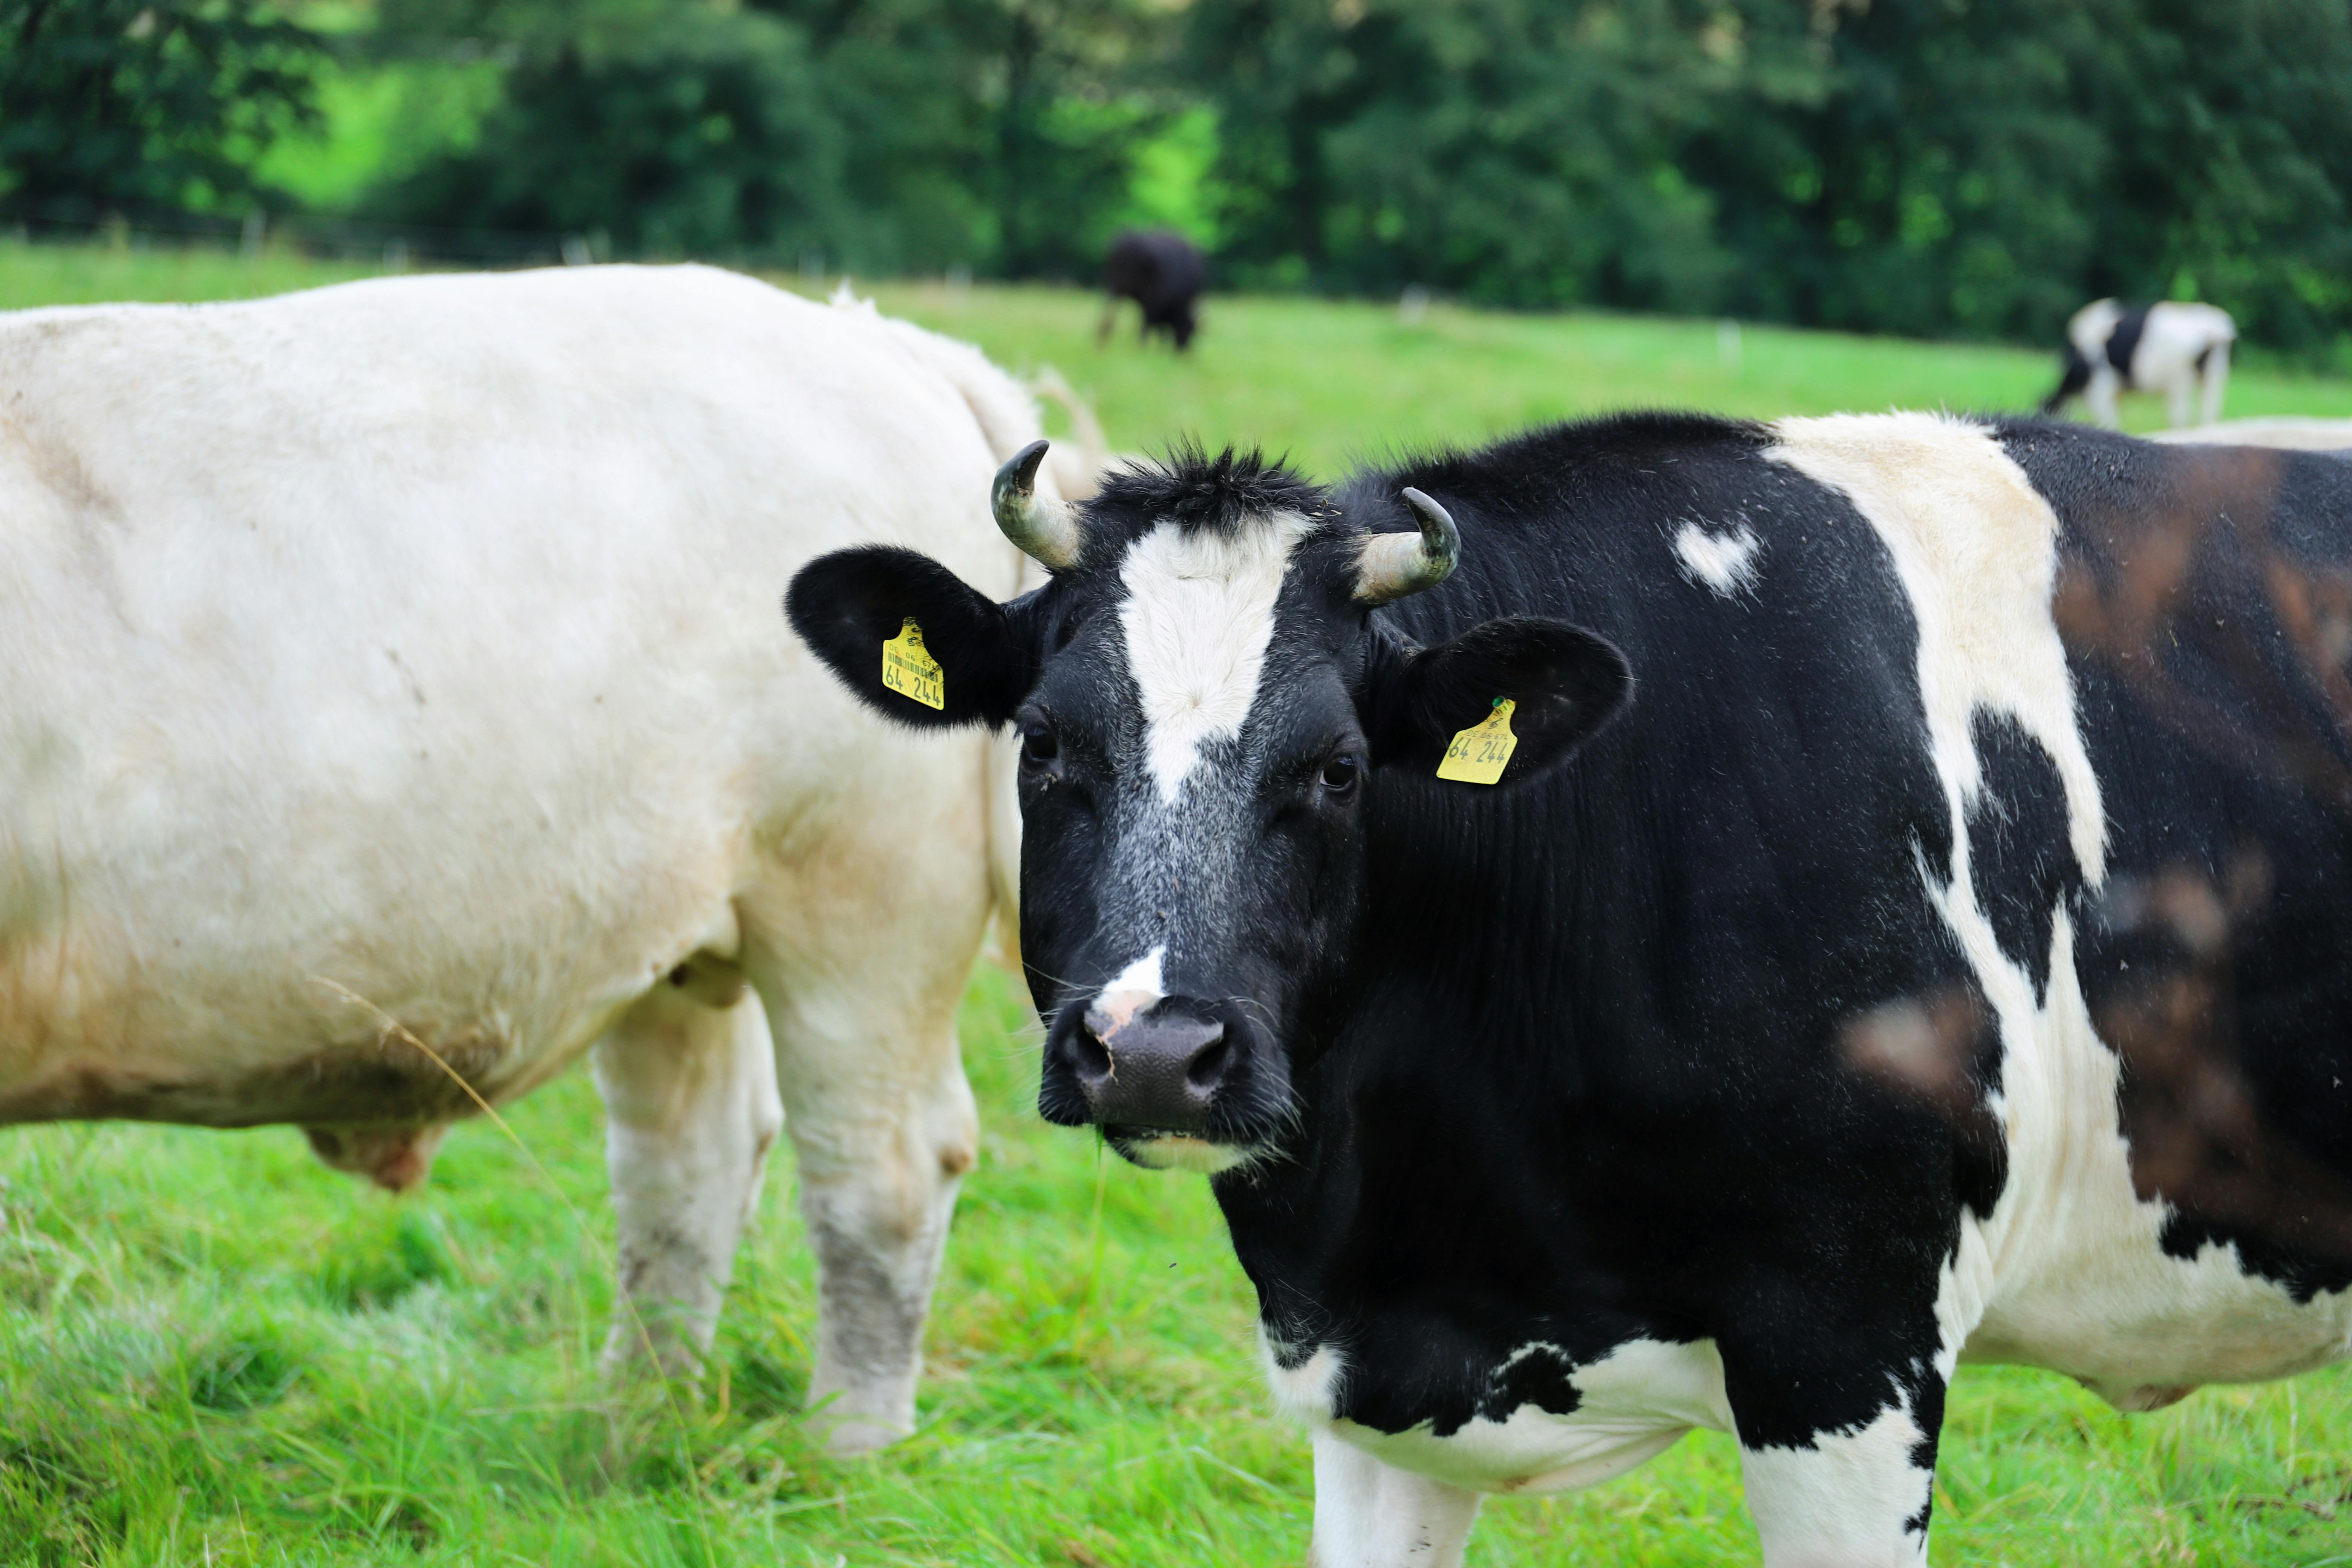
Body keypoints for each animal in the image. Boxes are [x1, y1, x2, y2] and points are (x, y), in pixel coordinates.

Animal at [0, 263, 1045, 1456]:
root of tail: (871, 338)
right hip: (681, 924)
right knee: (688, 1160)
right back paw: (632, 1430)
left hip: (861, 906)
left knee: (883, 1168)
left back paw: (842, 1452)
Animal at [1098, 230, 1205, 352]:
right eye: (1190, 330)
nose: (1183, 350)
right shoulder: (1156, 304)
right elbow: (1157, 329)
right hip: (1145, 297)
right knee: (1144, 325)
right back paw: (1142, 348)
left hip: (1115, 287)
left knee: (1107, 318)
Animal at [2043, 298, 2236, 429]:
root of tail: (2213, 328)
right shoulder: (2115, 391)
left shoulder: (2101, 389)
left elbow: (2108, 420)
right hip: (2214, 375)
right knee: (2210, 413)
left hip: (2180, 382)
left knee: (2181, 417)